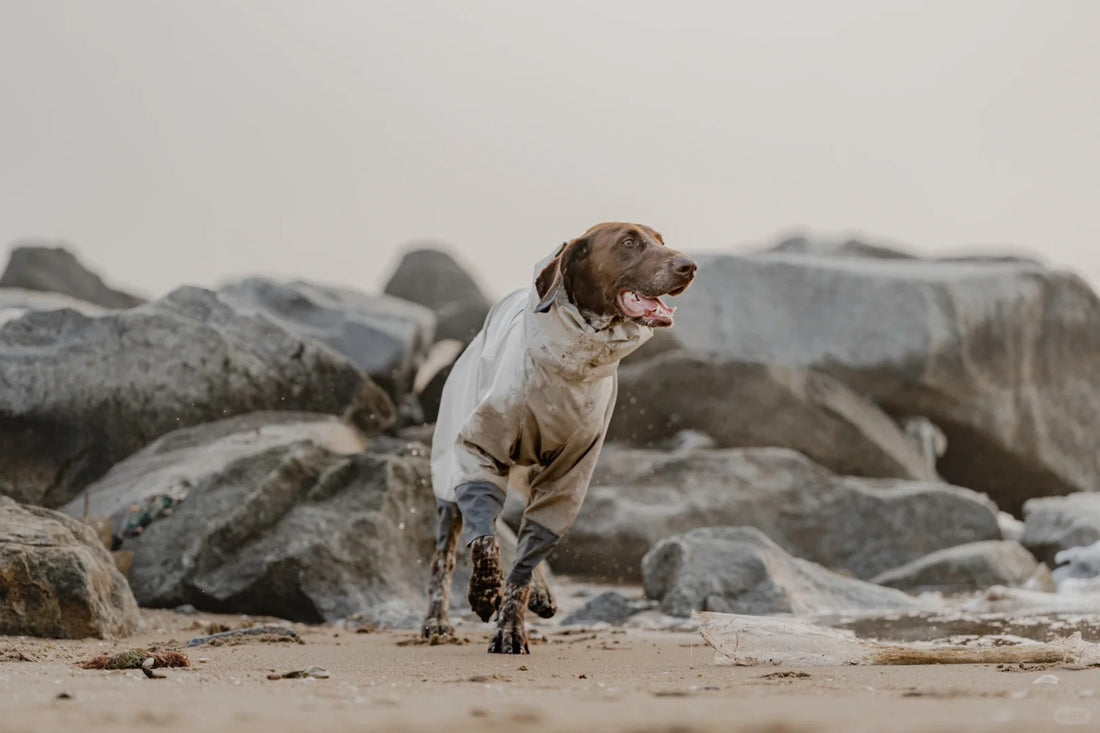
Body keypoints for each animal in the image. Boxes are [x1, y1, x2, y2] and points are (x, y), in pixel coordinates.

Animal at [420, 222, 695, 651]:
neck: (572, 360)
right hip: (449, 471)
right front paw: (484, 593)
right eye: (628, 242)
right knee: (445, 554)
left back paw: (540, 592)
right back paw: (437, 621)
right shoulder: (478, 448)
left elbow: (528, 552)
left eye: (661, 241)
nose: (689, 266)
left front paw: (511, 626)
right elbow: (483, 541)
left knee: (523, 535)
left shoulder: (570, 472)